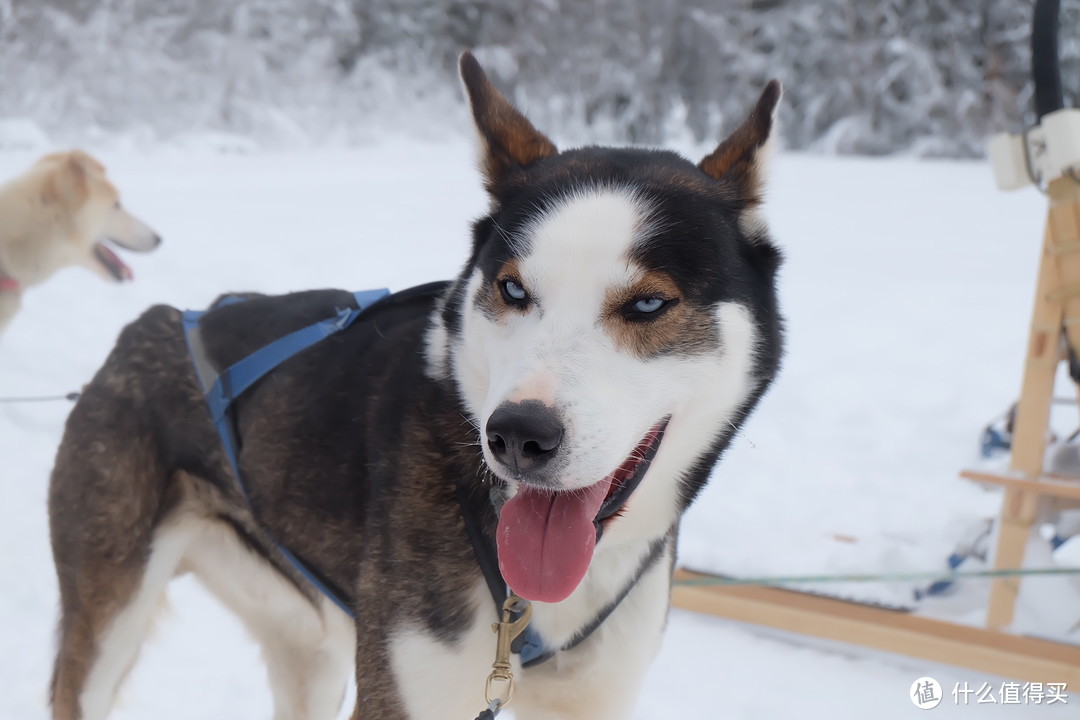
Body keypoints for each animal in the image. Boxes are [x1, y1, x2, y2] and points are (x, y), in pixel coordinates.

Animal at [46, 55, 781, 720]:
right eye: (513, 290)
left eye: (649, 304)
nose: (518, 435)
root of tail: (158, 320)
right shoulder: (403, 694)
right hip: (108, 625)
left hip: (306, 649)